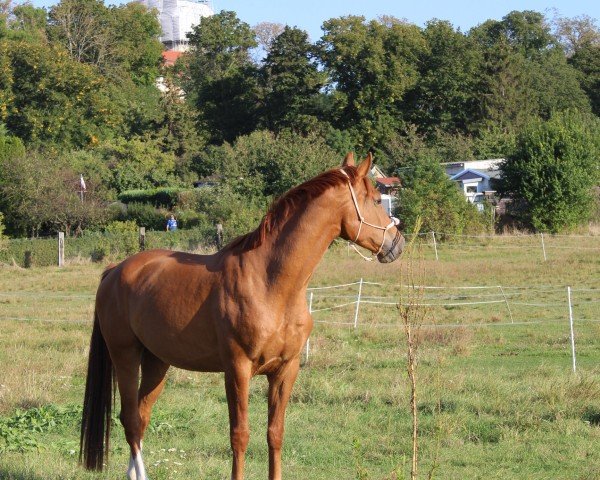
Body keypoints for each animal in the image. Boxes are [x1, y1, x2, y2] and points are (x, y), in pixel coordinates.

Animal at [79, 152, 406, 478]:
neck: (269, 283)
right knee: (131, 421)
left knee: (141, 415)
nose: (397, 244)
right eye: (377, 200)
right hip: (125, 355)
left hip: (157, 362)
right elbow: (240, 435)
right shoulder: (237, 370)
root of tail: (115, 271)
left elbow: (275, 433)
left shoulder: (286, 370)